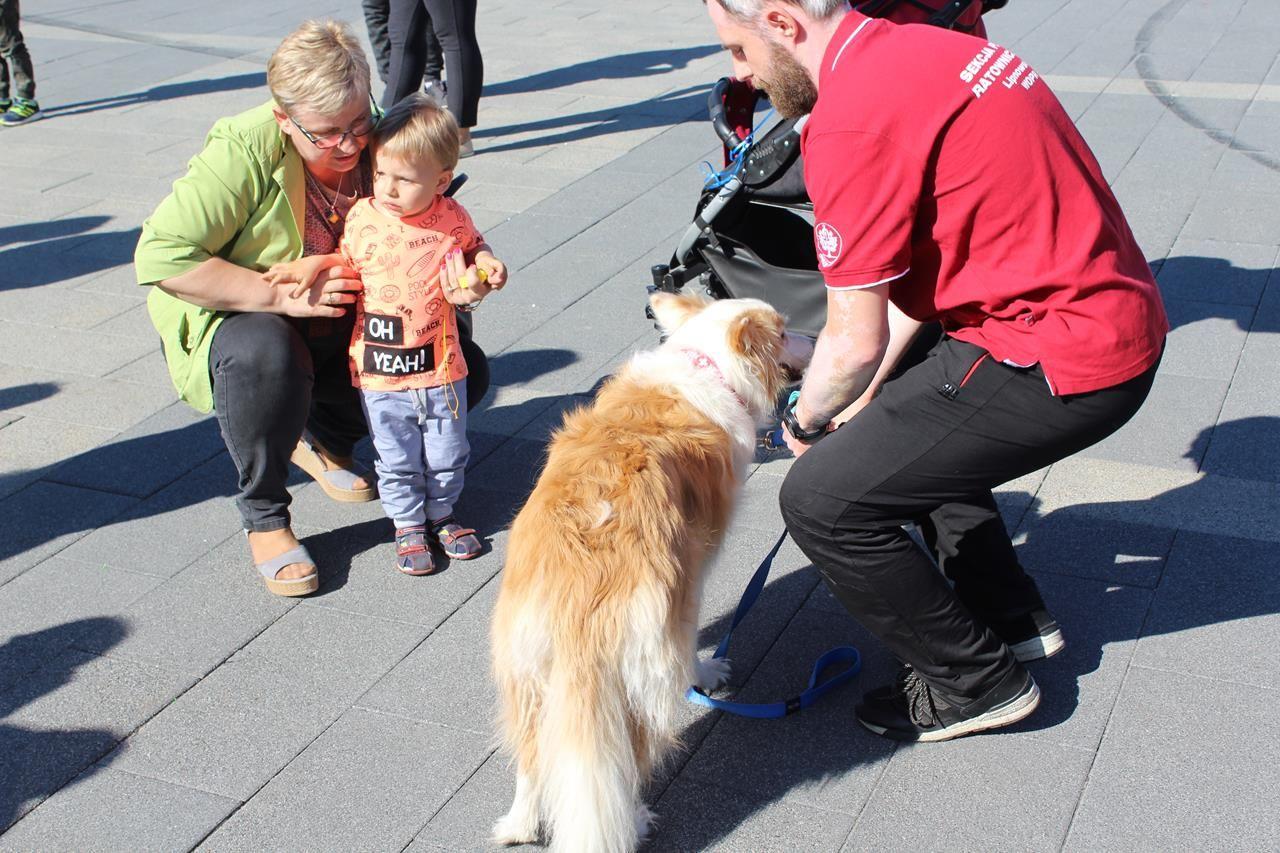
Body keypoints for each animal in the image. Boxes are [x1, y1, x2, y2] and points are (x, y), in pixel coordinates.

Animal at [488, 292, 808, 850]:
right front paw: (709, 672)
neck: (705, 364)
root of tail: (581, 591)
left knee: (532, 760)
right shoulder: (692, 576)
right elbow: (696, 642)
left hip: (527, 672)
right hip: (641, 669)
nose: (817, 338)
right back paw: (635, 819)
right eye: (786, 332)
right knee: (629, 758)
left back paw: (519, 826)